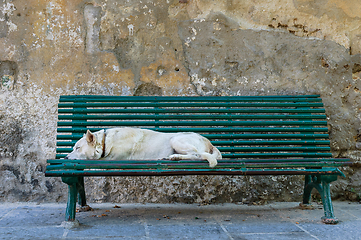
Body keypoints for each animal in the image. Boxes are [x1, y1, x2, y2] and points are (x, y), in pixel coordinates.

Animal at [65, 127, 221, 167]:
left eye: (77, 148)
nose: (65, 158)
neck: (105, 142)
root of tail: (209, 142)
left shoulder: (115, 158)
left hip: (176, 139)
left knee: (197, 155)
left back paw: (175, 156)